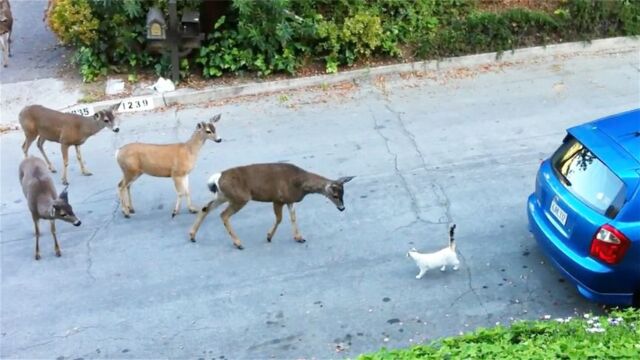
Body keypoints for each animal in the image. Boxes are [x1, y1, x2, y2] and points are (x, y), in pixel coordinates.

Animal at [189, 163, 356, 250]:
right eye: (335, 195)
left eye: (343, 193)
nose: (342, 208)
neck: (300, 183)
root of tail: (216, 178)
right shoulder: (278, 199)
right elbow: (280, 219)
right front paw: (269, 236)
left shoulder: (289, 200)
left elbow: (293, 217)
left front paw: (299, 237)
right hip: (240, 197)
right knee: (223, 215)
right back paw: (238, 243)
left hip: (223, 195)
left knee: (205, 208)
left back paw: (192, 236)